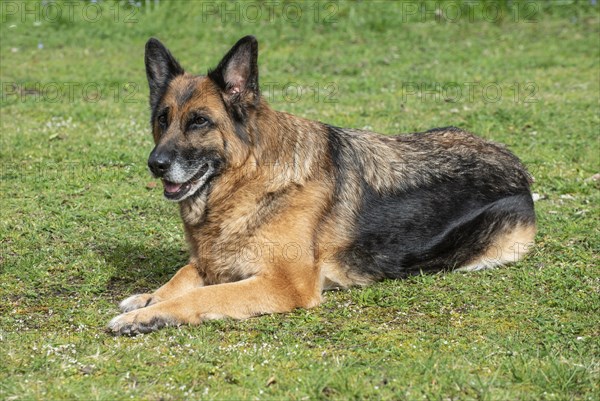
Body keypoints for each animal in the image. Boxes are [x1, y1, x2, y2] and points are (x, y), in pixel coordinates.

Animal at [106, 36, 536, 334]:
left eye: (199, 121)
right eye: (163, 119)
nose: (155, 164)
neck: (248, 182)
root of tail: (516, 165)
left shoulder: (286, 284)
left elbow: (202, 293)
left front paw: (148, 316)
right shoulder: (211, 261)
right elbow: (182, 276)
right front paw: (147, 299)